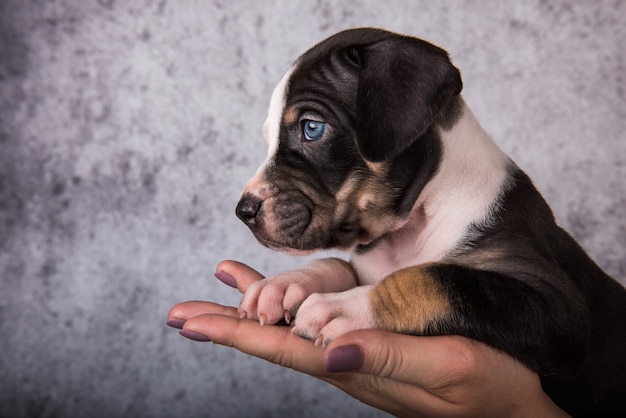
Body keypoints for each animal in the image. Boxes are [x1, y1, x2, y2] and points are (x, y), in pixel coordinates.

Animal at [233, 28, 624, 414]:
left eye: (312, 128)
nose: (243, 212)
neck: (411, 228)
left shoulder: (558, 309)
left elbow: (433, 278)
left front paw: (343, 307)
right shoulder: (367, 266)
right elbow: (336, 264)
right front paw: (286, 285)